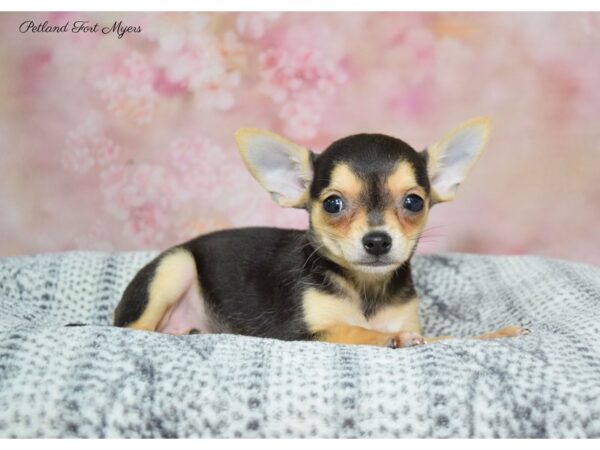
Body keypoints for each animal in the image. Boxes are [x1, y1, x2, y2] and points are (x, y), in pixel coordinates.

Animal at [112, 117, 524, 348]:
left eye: (413, 202)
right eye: (333, 204)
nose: (378, 240)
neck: (365, 290)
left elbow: (444, 337)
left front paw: (494, 336)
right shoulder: (302, 333)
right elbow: (353, 331)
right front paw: (393, 339)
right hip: (176, 266)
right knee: (135, 329)